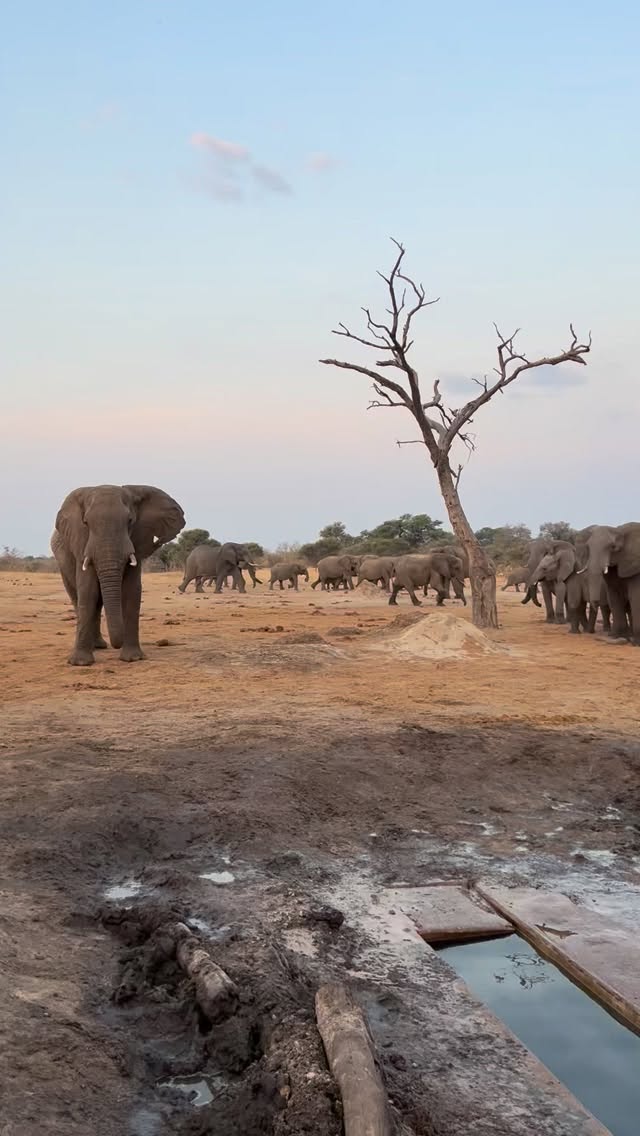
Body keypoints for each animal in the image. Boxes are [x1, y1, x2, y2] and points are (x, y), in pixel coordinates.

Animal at [51, 484, 185, 666]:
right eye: (86, 523)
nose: (117, 645)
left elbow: (131, 591)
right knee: (78, 597)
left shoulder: (137, 541)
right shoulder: (81, 543)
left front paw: (133, 658)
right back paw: (95, 647)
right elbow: (88, 590)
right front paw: (80, 663)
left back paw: (98, 646)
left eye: (130, 521)